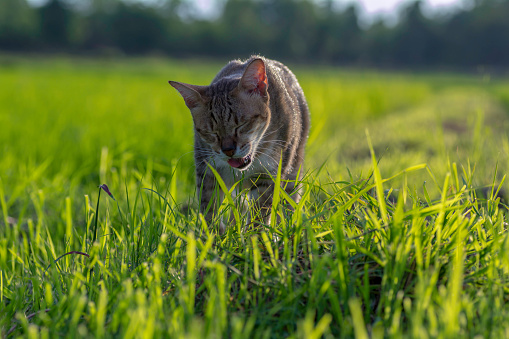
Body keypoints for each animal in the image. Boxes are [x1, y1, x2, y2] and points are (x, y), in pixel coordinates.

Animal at [169, 55, 310, 232]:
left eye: (241, 125)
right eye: (212, 133)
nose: (228, 150)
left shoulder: (268, 173)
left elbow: (260, 212)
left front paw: (255, 236)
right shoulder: (207, 168)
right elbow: (208, 204)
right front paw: (212, 233)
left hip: (293, 168)